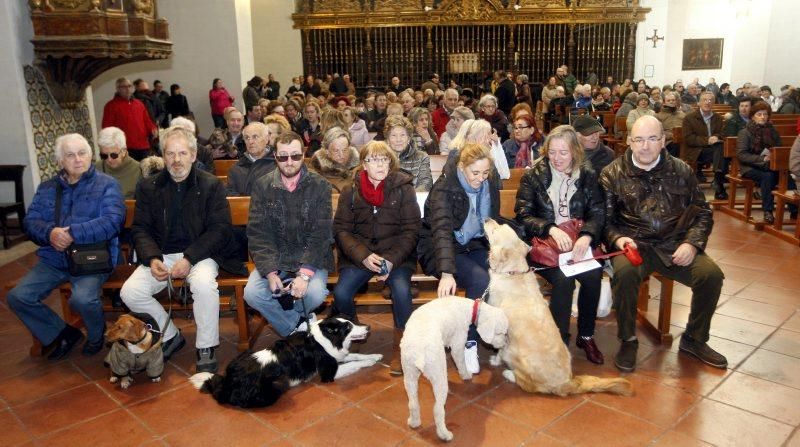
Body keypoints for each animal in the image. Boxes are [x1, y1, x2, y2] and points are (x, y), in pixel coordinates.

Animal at [400, 298, 506, 444]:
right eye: (500, 333)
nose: (503, 345)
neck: (469, 308)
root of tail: (419, 351)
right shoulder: (457, 344)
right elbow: (460, 362)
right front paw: (466, 375)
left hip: (409, 374)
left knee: (412, 403)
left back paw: (414, 422)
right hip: (438, 377)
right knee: (437, 410)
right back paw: (444, 434)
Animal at [482, 219, 632, 398]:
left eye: (495, 230)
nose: (486, 219)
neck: (513, 272)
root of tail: (566, 383)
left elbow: (498, 348)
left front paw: (495, 361)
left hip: (513, 354)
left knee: (527, 384)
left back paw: (509, 374)